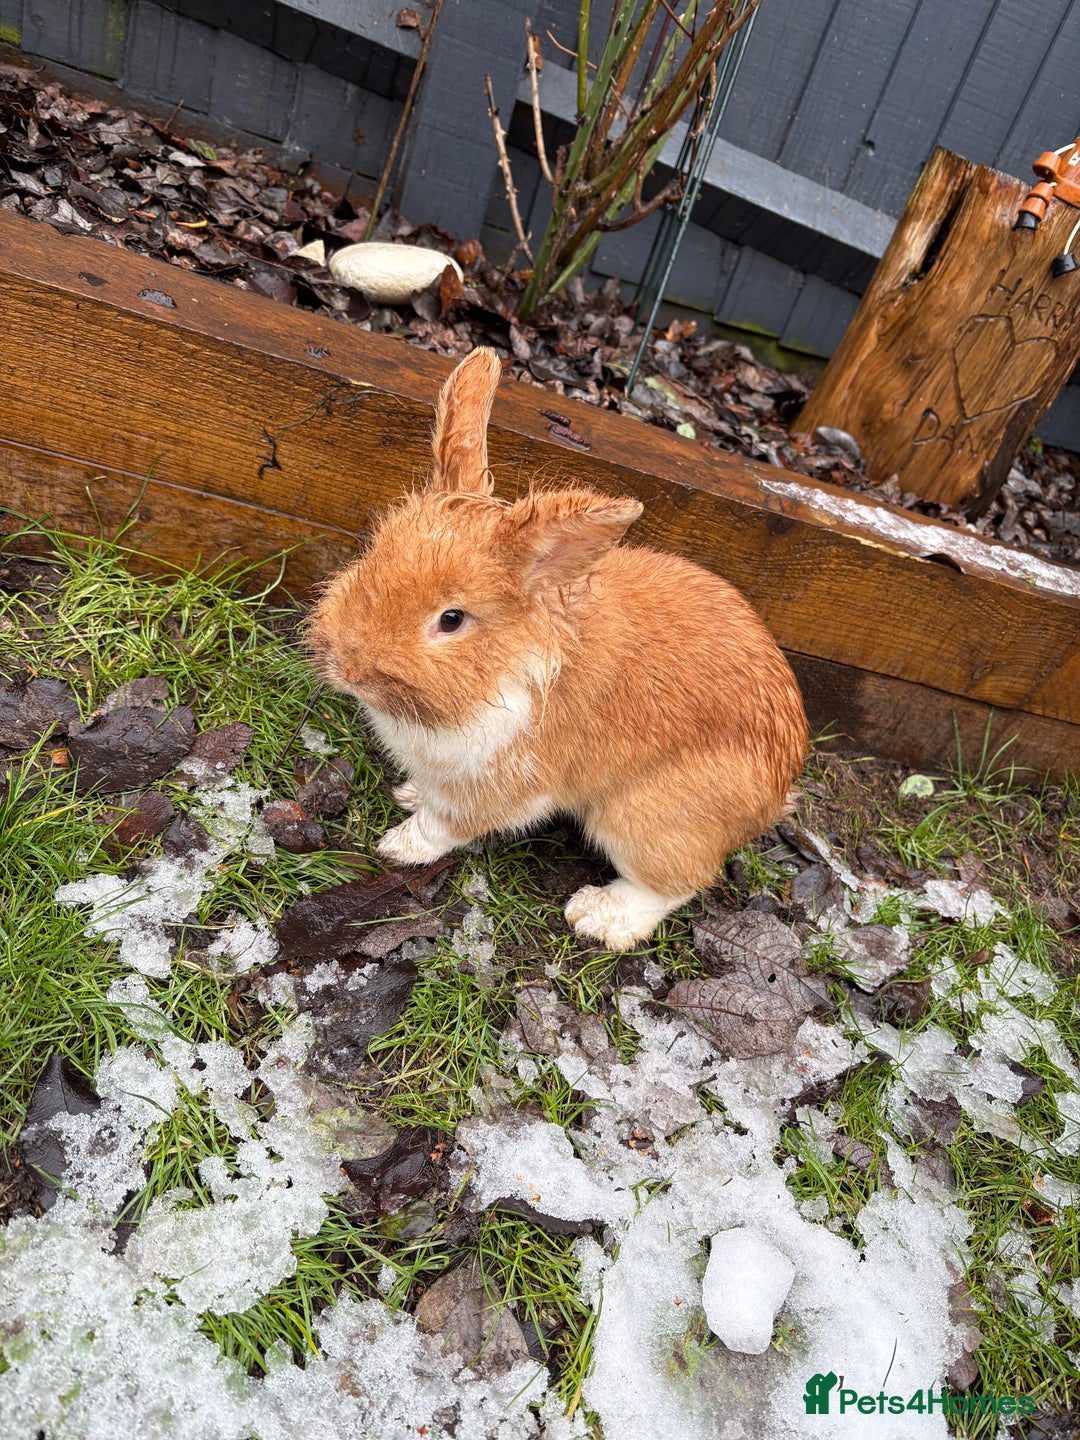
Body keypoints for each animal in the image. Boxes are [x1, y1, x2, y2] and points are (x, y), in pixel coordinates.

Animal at [307, 346, 808, 952]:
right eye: (372, 554)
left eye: (451, 620)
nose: (347, 668)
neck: (501, 668)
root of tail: (777, 788)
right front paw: (409, 795)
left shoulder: (496, 786)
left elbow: (445, 826)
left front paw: (398, 845)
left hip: (648, 819)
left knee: (675, 883)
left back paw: (598, 916)